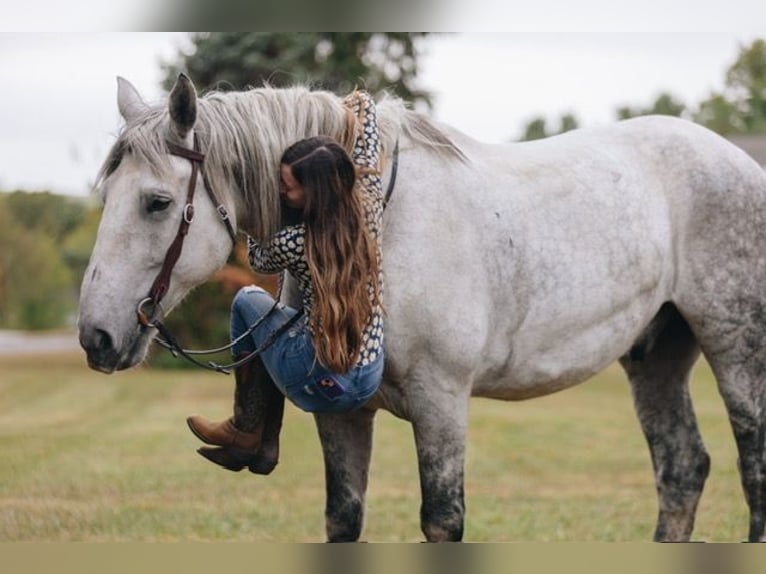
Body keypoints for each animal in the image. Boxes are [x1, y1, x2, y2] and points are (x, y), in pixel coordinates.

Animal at [79, 73, 766, 544]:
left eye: (157, 203)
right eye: (107, 194)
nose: (95, 336)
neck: (373, 225)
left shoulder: (442, 404)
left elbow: (443, 518)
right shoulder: (342, 411)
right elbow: (343, 516)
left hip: (734, 347)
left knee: (750, 468)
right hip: (656, 356)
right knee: (681, 468)